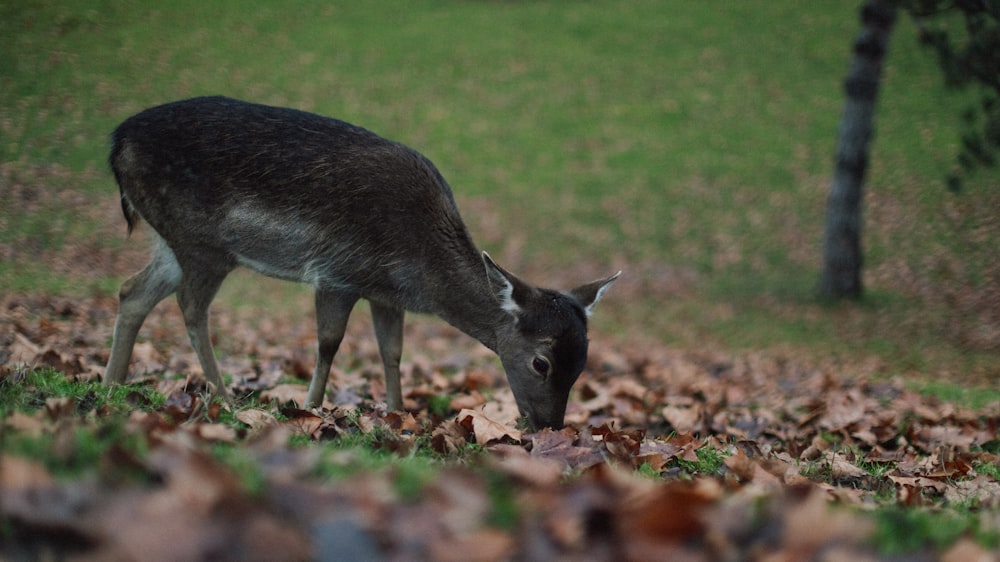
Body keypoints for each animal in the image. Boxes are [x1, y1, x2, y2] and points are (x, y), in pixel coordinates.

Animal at [101, 97, 616, 428]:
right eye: (540, 362)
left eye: (584, 363)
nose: (550, 427)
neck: (421, 269)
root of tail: (115, 143)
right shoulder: (337, 273)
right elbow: (329, 343)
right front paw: (311, 409)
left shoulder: (386, 293)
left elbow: (392, 351)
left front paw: (397, 413)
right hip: (201, 241)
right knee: (190, 305)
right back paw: (224, 398)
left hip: (171, 240)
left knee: (133, 291)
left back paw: (111, 385)